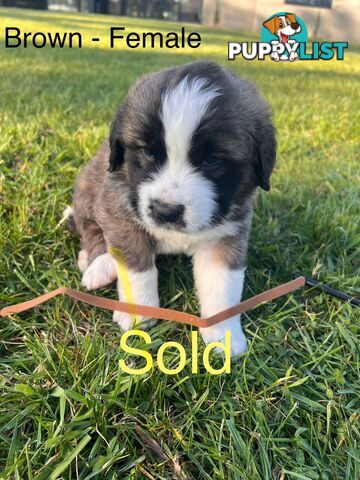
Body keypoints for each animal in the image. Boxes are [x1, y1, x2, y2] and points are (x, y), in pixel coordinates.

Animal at [69, 61, 276, 356]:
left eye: (212, 161)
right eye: (146, 151)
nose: (165, 211)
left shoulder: (226, 233)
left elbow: (222, 285)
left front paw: (224, 334)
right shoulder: (121, 213)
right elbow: (138, 270)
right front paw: (139, 314)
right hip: (89, 186)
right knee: (89, 227)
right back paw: (99, 264)